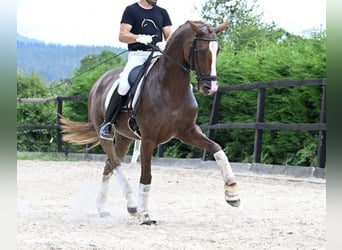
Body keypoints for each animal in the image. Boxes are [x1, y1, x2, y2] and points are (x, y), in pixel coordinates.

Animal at [60, 20, 239, 226]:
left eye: (217, 50)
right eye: (201, 50)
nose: (211, 87)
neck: (171, 87)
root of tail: (99, 82)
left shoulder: (188, 131)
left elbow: (217, 149)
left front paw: (232, 192)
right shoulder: (148, 140)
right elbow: (146, 176)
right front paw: (145, 214)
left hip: (124, 137)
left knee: (109, 165)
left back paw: (104, 208)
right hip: (106, 134)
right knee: (115, 163)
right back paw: (132, 206)